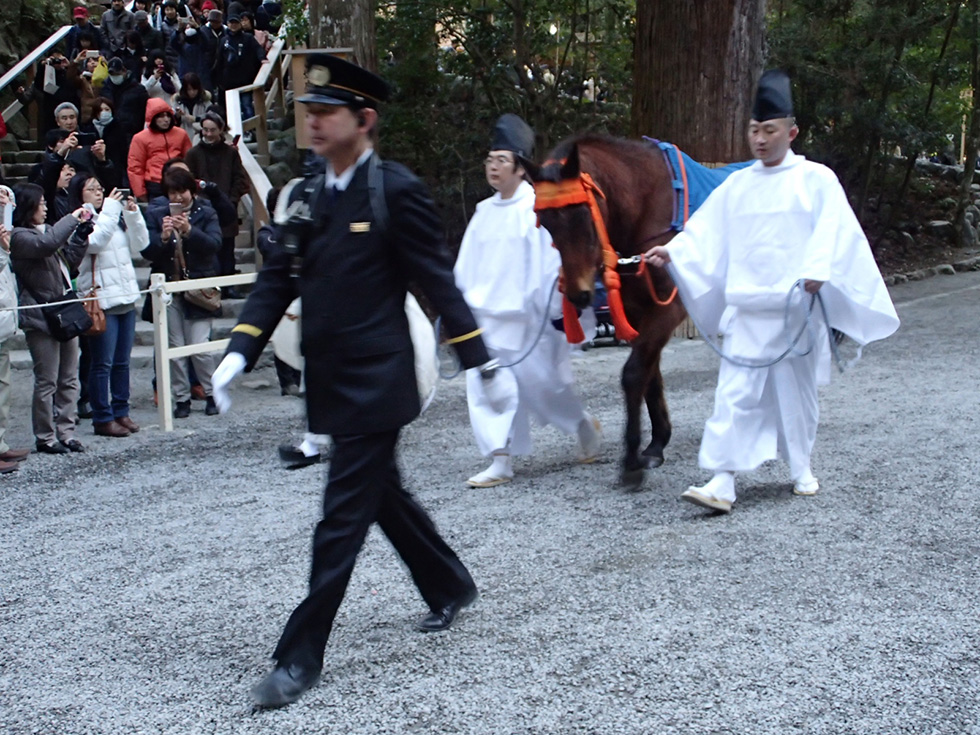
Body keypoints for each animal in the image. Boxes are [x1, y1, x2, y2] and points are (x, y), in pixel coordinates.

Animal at [528, 135, 688, 492]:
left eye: (583, 215)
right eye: (546, 223)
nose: (579, 293)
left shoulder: (668, 308)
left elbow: (634, 374)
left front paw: (631, 462)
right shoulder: (638, 312)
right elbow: (649, 376)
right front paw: (655, 445)